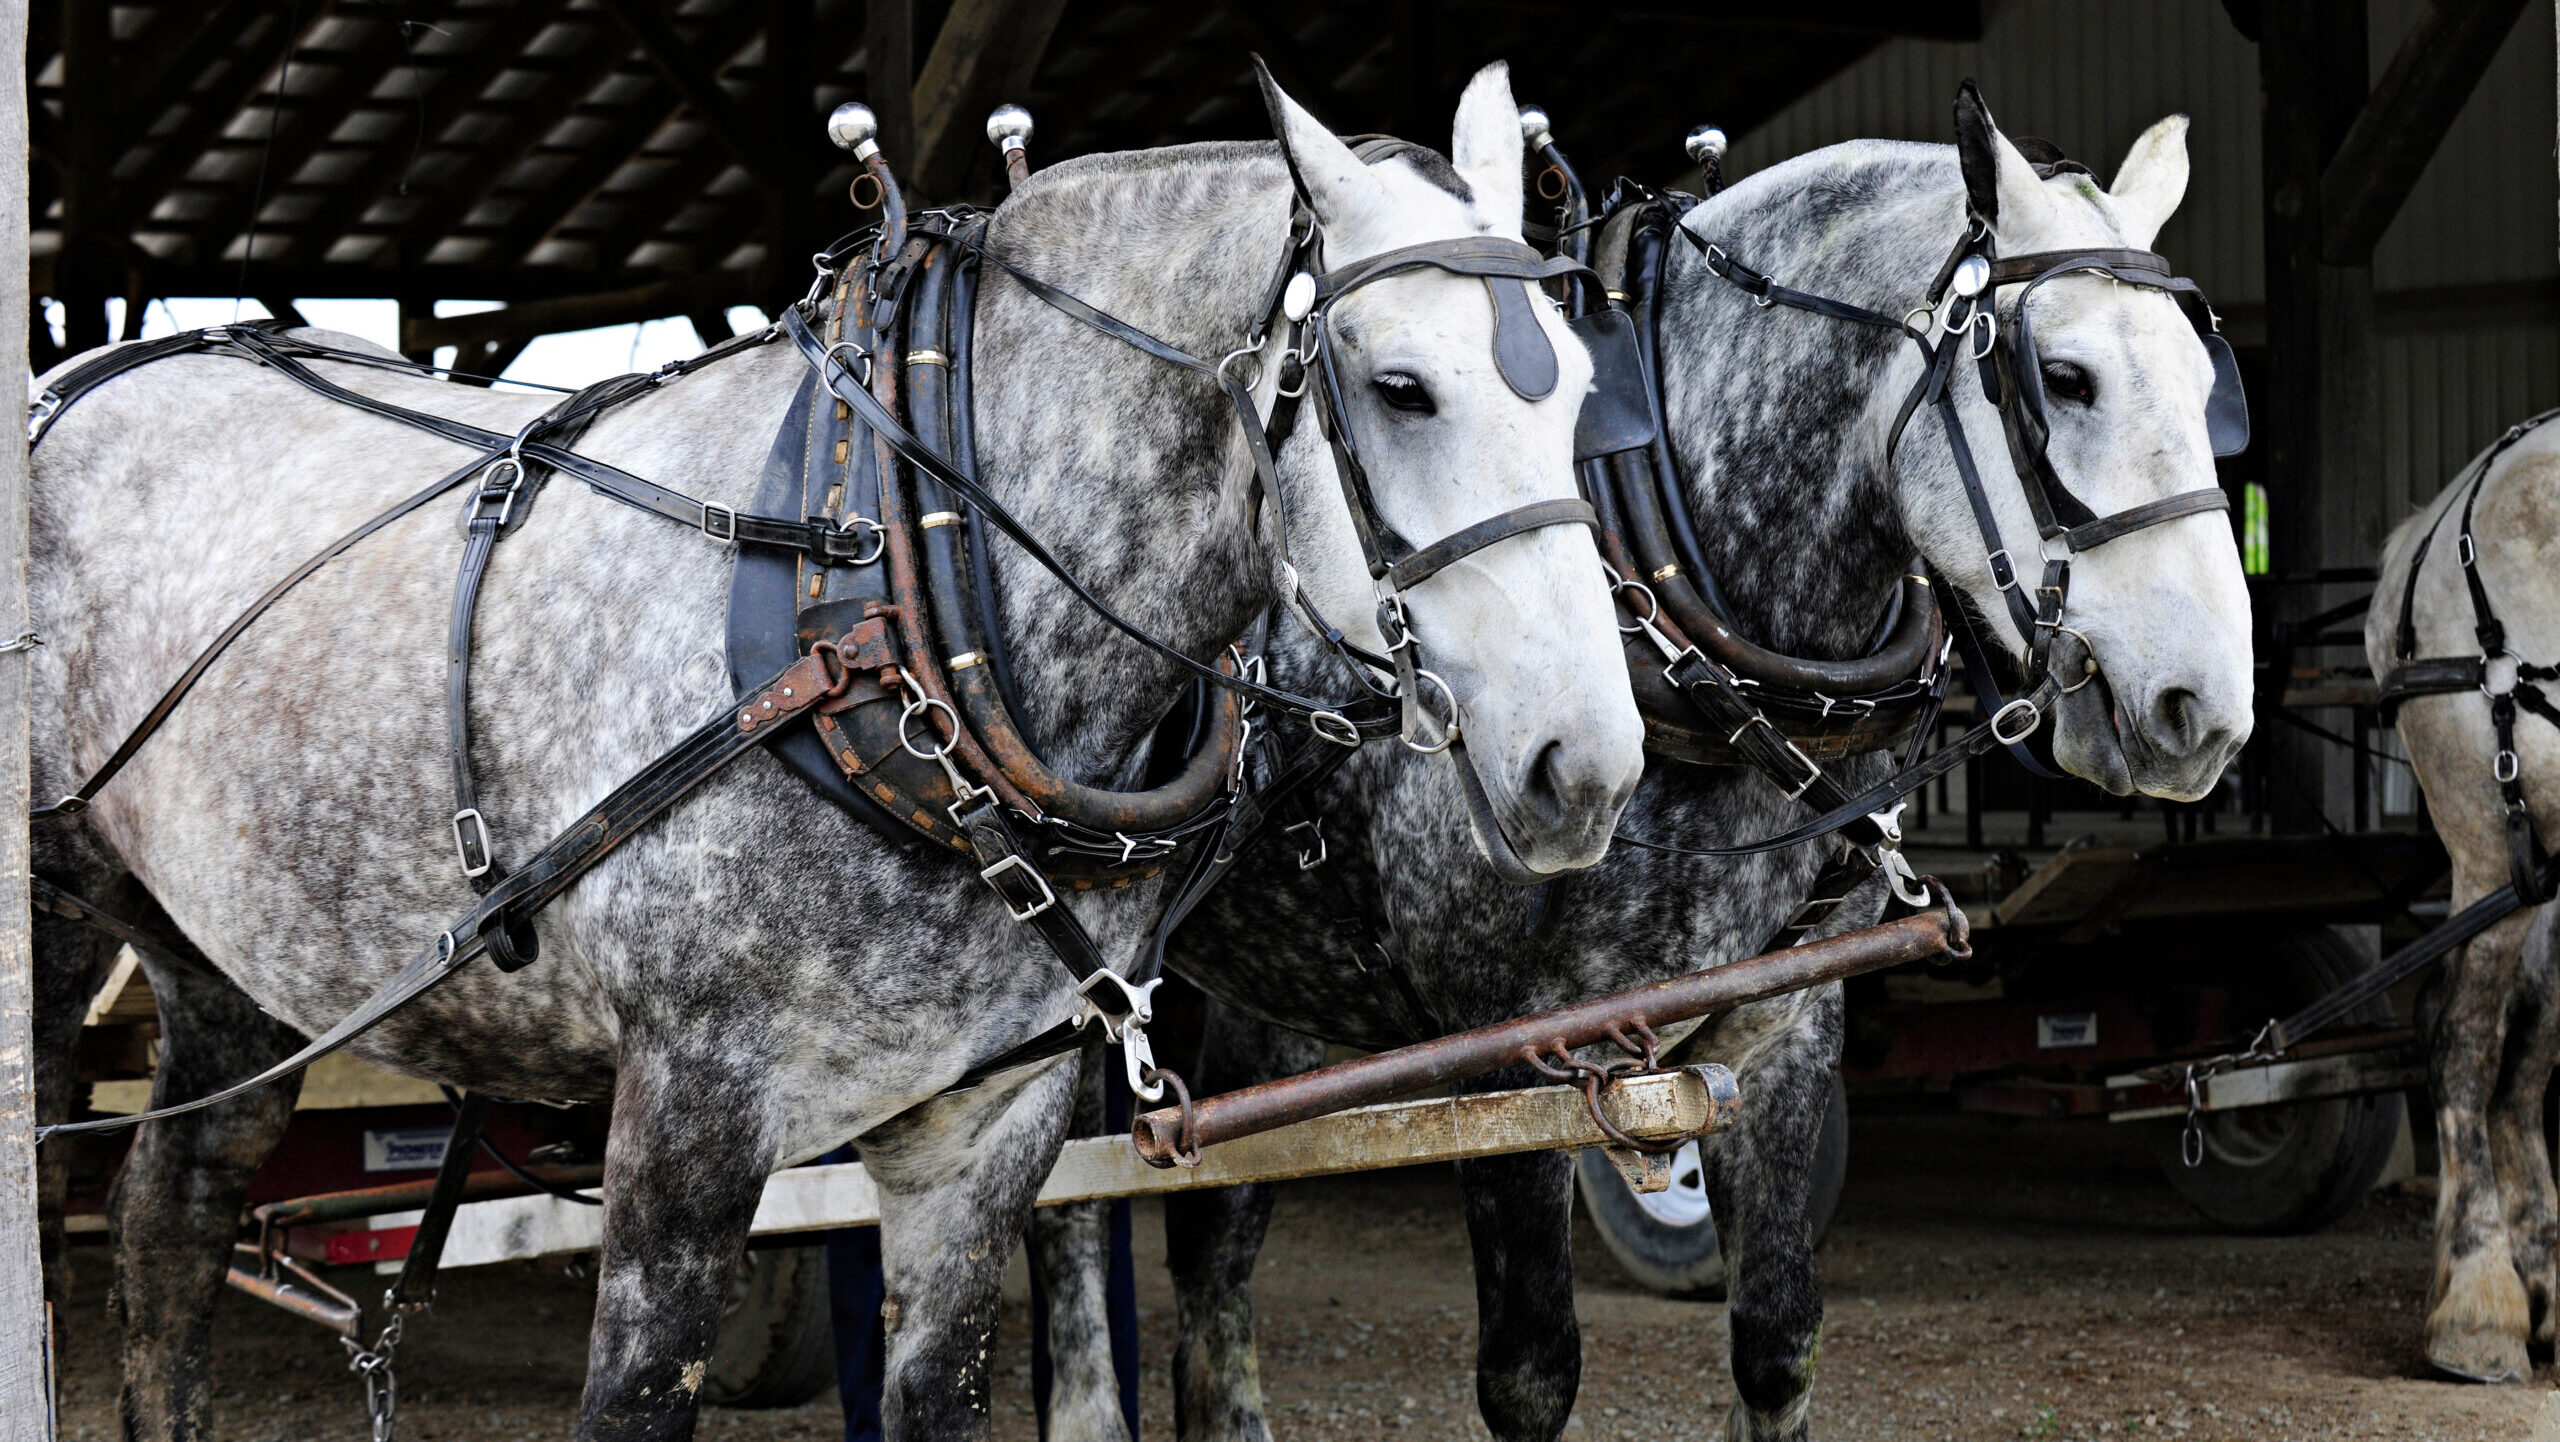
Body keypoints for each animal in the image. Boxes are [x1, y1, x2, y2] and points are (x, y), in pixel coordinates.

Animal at [26, 63, 1648, 1442]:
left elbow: (936, 1390)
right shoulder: (690, 1108)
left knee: (173, 1212)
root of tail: (71, 380)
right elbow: (638, 1397)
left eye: (1582, 387)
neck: (887, 603)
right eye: (1399, 386)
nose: (1586, 764)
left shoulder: (983, 1124)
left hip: (226, 962)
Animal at [1032, 90, 2254, 1442]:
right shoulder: (1508, 1054)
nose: (2205, 709)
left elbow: (1777, 1340)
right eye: (2065, 377)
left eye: (2208, 381)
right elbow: (1529, 1372)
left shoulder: (1781, 1034)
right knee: (1074, 1231)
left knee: (1214, 1242)